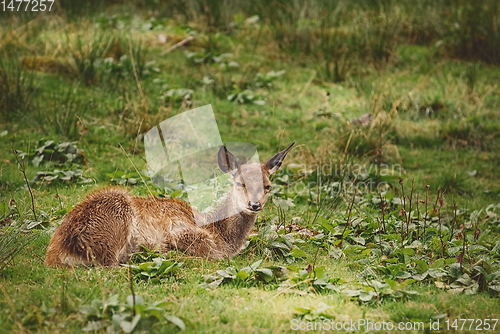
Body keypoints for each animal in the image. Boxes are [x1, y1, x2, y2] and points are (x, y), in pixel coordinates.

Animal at [44, 142, 292, 268]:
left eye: (268, 185)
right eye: (240, 183)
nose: (254, 204)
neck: (220, 232)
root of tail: (59, 252)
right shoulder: (181, 229)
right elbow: (210, 253)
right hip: (115, 218)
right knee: (109, 264)